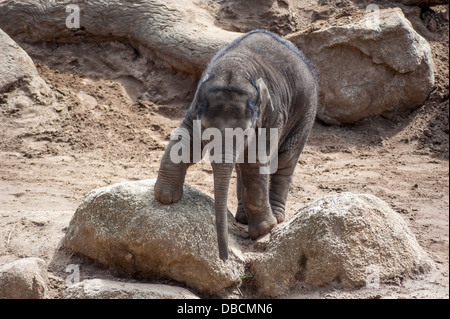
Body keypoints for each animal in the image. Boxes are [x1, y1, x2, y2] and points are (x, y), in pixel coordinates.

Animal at [156, 29, 318, 262]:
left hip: (306, 112)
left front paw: (265, 230)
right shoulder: (194, 108)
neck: (235, 68)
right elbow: (185, 141)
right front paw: (165, 197)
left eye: (246, 132)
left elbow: (256, 162)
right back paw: (242, 218)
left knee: (285, 160)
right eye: (206, 128)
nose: (223, 257)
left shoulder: (270, 116)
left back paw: (277, 217)